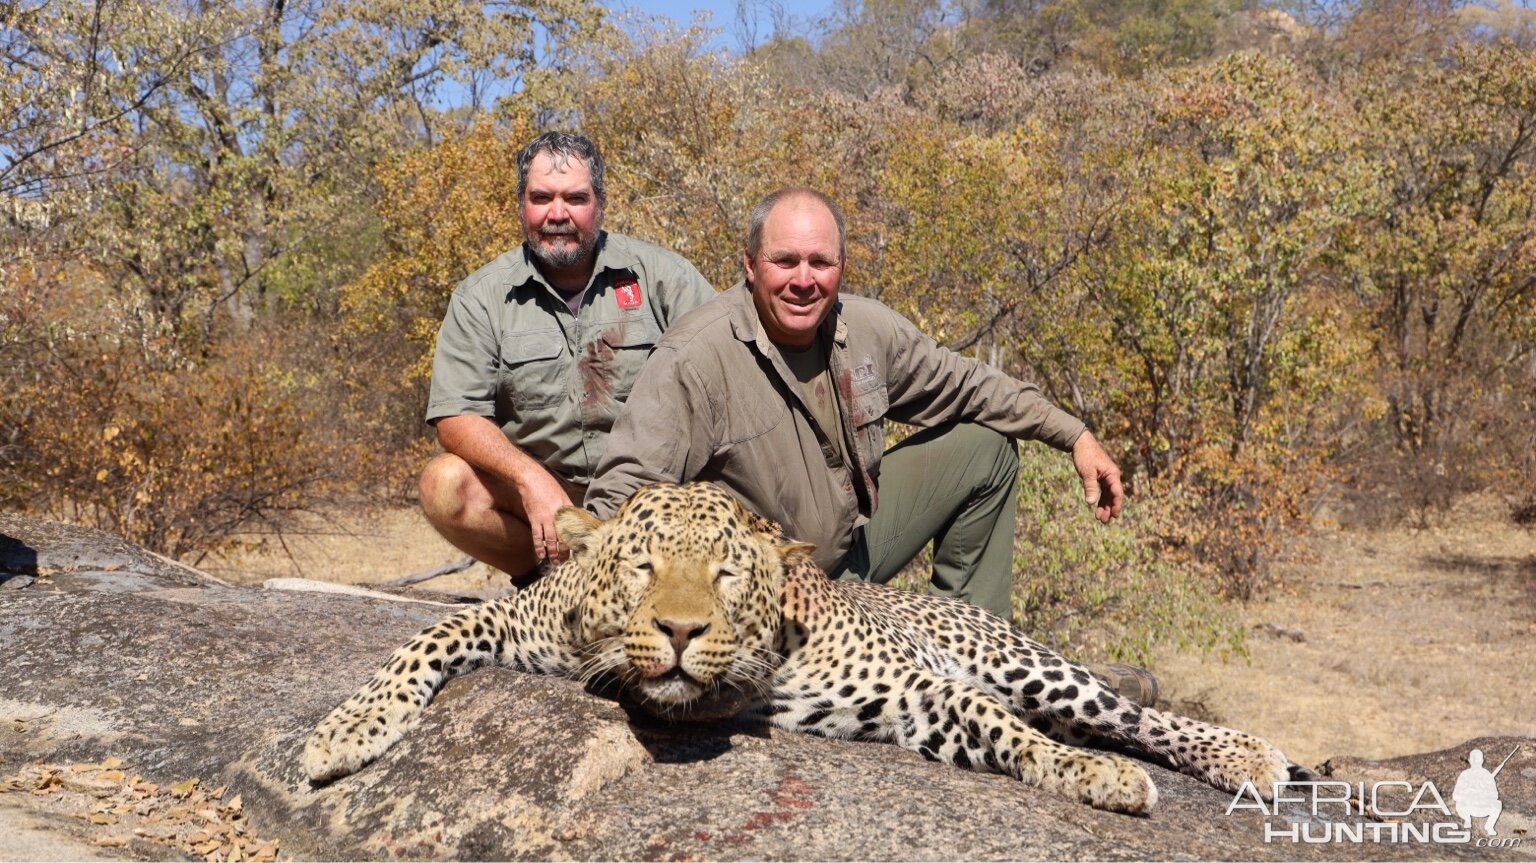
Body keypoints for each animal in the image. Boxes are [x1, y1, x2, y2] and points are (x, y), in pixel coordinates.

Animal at [305, 479, 1302, 810]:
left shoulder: (917, 692)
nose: (678, 631)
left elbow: (1001, 728)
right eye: (642, 565)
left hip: (1032, 664)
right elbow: (429, 632)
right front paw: (345, 729)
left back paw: (1245, 755)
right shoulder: (520, 620)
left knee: (1129, 715)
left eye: (726, 575)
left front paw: (1091, 778)